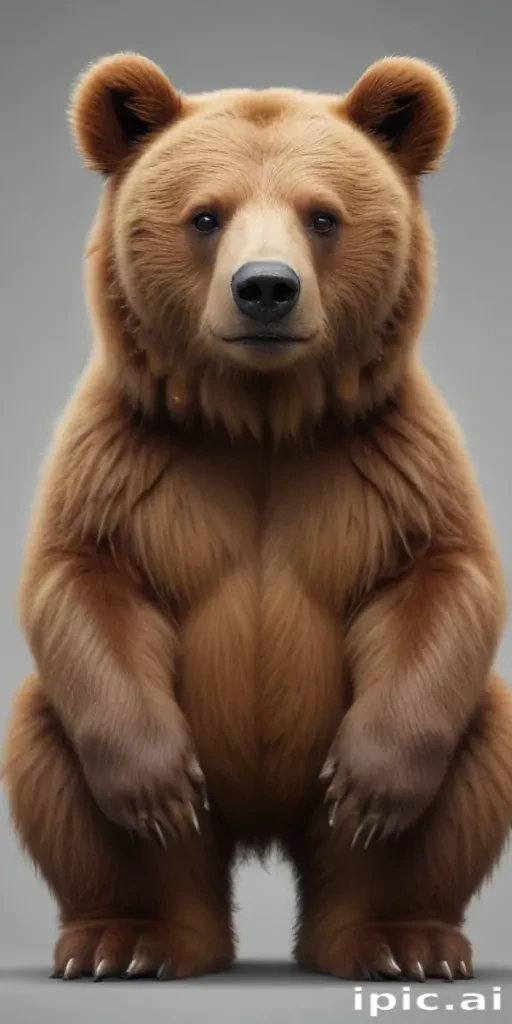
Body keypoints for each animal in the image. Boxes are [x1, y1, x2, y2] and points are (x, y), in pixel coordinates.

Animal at [3, 50, 512, 984]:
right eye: (206, 215)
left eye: (323, 215)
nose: (266, 289)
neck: (261, 420)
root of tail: (265, 831)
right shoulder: (127, 457)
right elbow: (82, 574)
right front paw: (155, 786)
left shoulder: (390, 459)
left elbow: (441, 575)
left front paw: (374, 786)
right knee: (56, 752)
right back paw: (127, 941)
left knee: (468, 751)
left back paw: (404, 943)